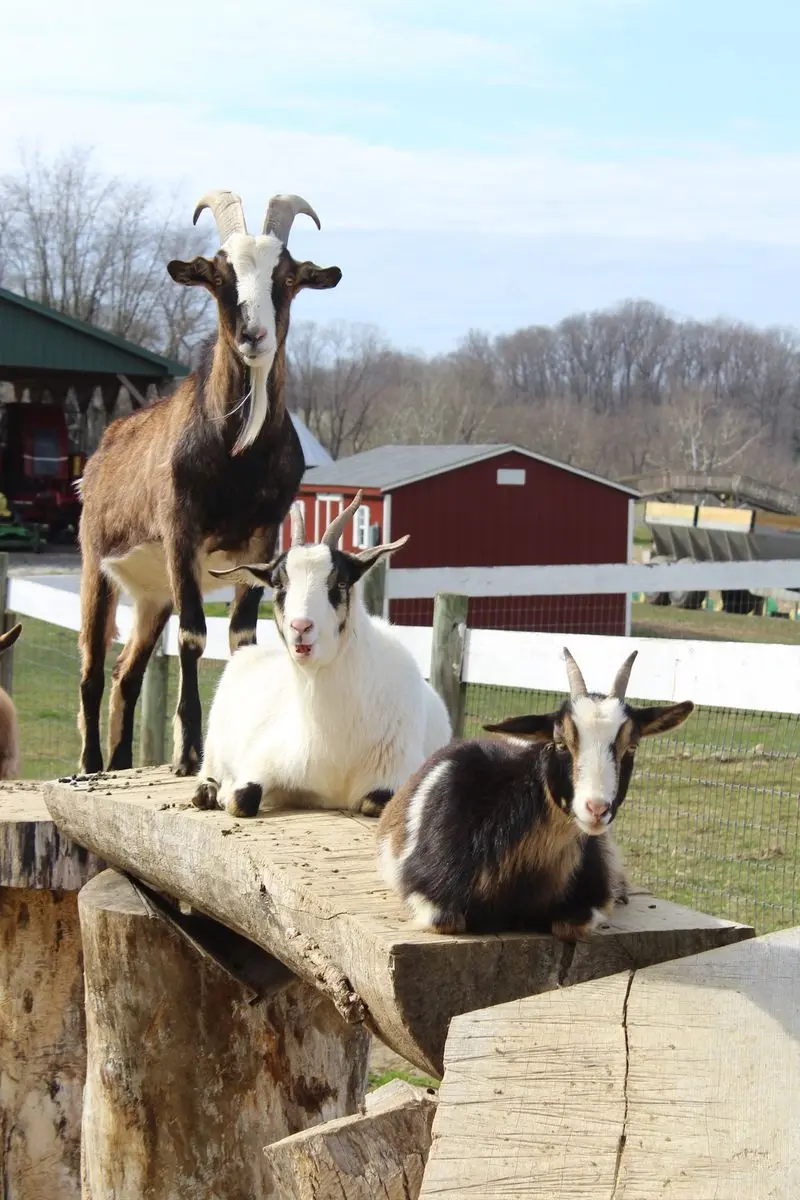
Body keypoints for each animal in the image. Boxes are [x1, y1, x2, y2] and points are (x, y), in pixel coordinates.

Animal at [77, 189, 341, 776]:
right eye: (220, 275)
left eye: (287, 276)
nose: (253, 335)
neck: (237, 456)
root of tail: (100, 452)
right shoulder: (181, 531)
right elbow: (195, 636)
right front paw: (190, 753)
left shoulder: (263, 537)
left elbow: (241, 637)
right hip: (95, 565)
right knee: (91, 668)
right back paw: (91, 765)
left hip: (152, 594)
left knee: (126, 673)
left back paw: (122, 763)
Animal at [191, 491, 453, 818]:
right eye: (278, 584)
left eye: (339, 582)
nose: (300, 627)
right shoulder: (264, 759)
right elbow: (242, 799)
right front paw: (225, 793)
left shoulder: (395, 774)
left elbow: (373, 802)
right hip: (214, 742)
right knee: (208, 768)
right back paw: (207, 791)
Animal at [377, 647, 693, 941]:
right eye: (560, 742)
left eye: (631, 747)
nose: (597, 809)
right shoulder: (425, 892)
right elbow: (446, 919)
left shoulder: (588, 898)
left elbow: (570, 924)